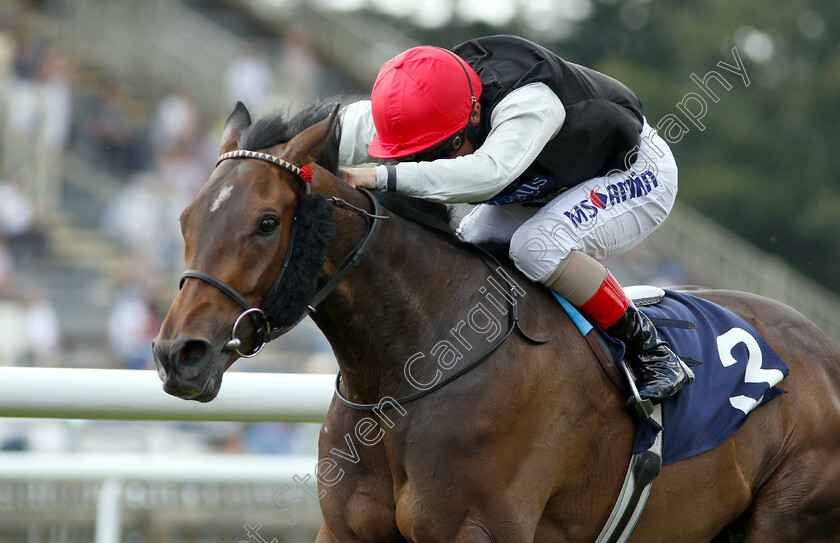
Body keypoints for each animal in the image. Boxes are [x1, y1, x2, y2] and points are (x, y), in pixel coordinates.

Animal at [153, 103, 840, 543]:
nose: (178, 353)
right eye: (185, 217)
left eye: (267, 222)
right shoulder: (346, 531)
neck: (407, 374)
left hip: (788, 519)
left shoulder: (477, 529)